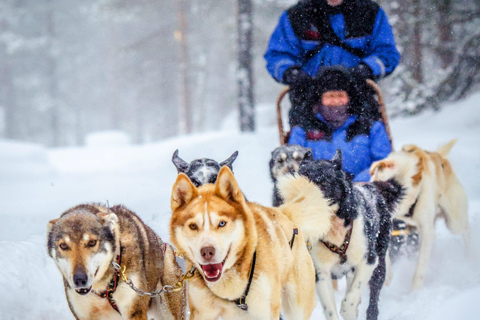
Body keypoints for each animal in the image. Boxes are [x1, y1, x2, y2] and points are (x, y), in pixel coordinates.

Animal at [168, 166, 326, 318]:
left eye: (222, 223)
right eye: (193, 226)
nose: (207, 251)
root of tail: (283, 213)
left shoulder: (265, 311)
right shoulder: (202, 312)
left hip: (296, 306)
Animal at [278, 150, 404, 320]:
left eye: (323, 183)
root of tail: (373, 188)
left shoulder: (368, 261)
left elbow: (350, 299)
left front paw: (349, 309)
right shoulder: (321, 273)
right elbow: (330, 309)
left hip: (379, 264)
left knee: (372, 296)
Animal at [372, 140, 468, 290]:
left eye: (395, 194)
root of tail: (440, 157)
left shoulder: (427, 232)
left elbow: (420, 268)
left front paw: (414, 291)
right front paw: (387, 277)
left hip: (454, 222)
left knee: (466, 230)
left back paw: (472, 257)